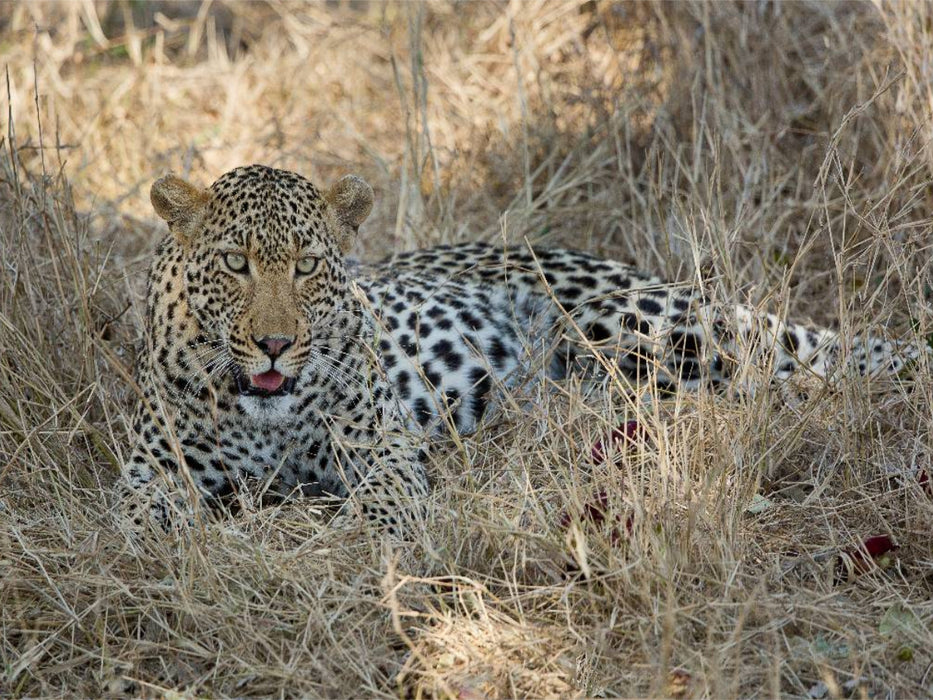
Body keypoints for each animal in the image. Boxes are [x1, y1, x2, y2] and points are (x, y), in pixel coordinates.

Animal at [120, 163, 923, 536]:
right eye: (235, 264)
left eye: (308, 265)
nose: (275, 344)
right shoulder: (150, 469)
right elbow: (134, 520)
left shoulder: (380, 443)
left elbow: (385, 497)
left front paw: (368, 539)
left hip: (635, 329)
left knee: (795, 372)